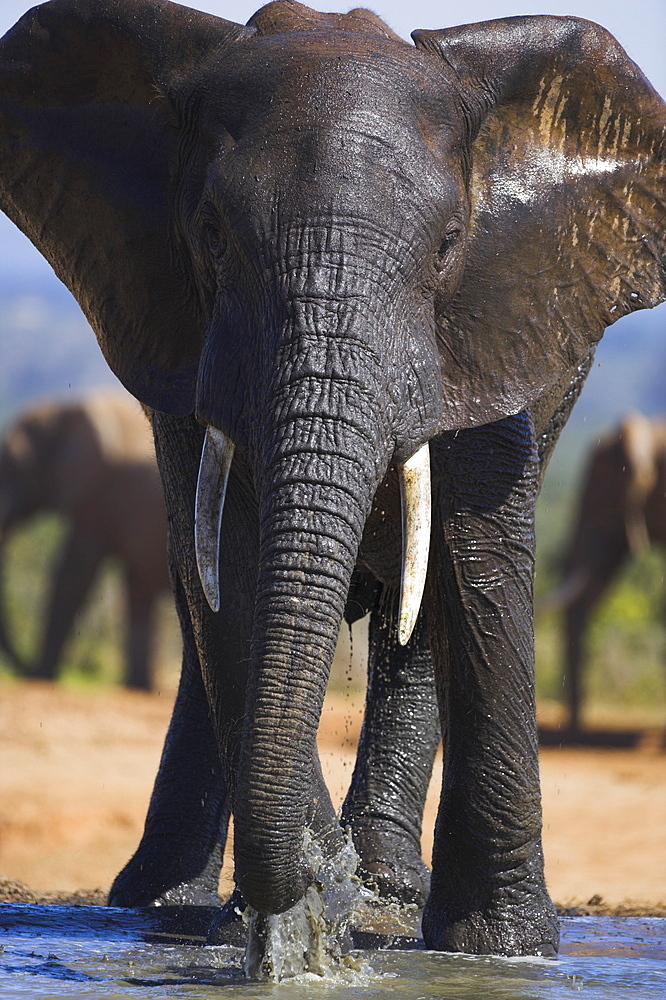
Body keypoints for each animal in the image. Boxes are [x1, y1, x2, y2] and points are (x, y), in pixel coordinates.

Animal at [0, 394, 171, 692]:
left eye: (18, 467)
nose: (23, 670)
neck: (63, 408)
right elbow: (134, 592)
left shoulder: (97, 496)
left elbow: (73, 575)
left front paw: (42, 677)